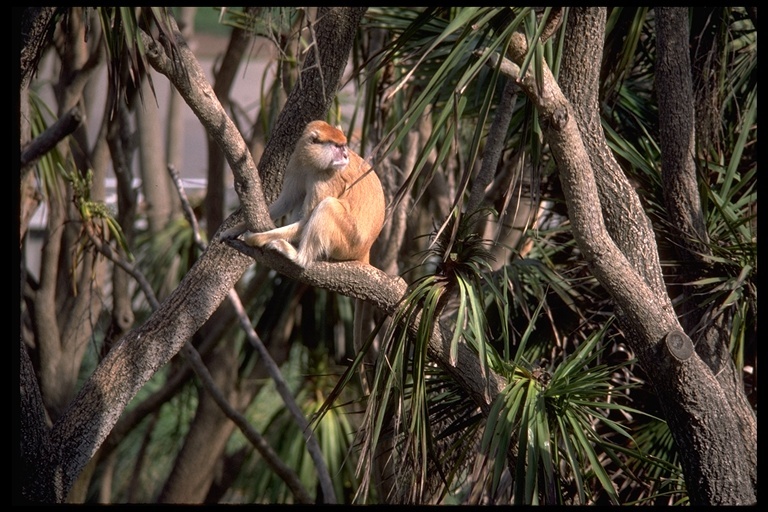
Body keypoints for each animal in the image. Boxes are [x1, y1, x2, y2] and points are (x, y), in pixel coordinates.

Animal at [219, 120, 384, 268]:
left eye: (344, 146)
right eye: (338, 146)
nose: (345, 156)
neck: (313, 164)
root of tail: (364, 251)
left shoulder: (325, 180)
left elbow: (305, 222)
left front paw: (256, 238)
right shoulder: (296, 163)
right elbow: (286, 201)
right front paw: (234, 230)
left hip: (348, 242)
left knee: (327, 206)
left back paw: (298, 257)